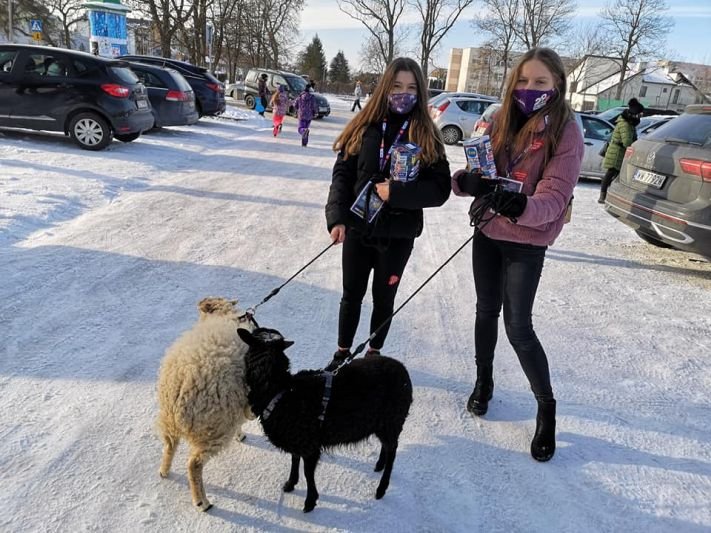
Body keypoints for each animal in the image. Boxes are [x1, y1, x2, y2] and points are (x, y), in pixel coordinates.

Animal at [157, 298, 258, 510]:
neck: (226, 318)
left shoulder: (235, 402)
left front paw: (241, 434)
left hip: (174, 423)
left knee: (169, 445)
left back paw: (164, 470)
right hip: (214, 429)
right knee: (194, 464)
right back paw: (202, 502)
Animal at [241, 324, 412, 512]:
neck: (282, 391)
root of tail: (403, 371)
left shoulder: (310, 445)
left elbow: (308, 473)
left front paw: (310, 501)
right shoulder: (298, 440)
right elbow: (294, 459)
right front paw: (290, 483)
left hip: (393, 420)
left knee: (392, 451)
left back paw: (381, 488)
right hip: (383, 424)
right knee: (387, 447)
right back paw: (380, 465)